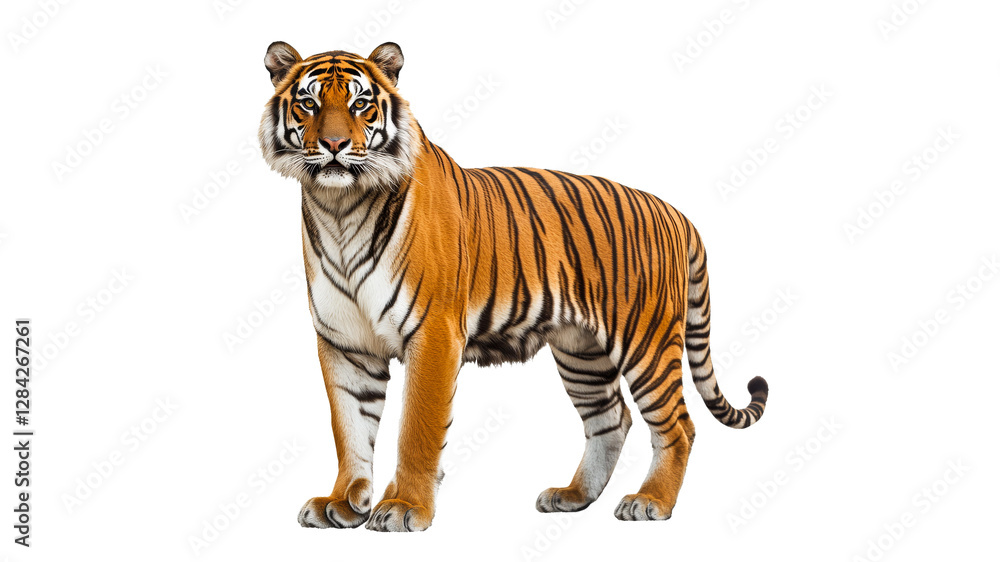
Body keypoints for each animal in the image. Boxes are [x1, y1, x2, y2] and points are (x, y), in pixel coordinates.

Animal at [258, 40, 769, 532]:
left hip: (647, 341)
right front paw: (342, 503)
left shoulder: (434, 333)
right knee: (611, 419)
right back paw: (573, 496)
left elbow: (418, 430)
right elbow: (350, 430)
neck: (340, 207)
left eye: (361, 104)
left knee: (678, 425)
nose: (334, 144)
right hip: (582, 352)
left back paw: (651, 502)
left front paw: (405, 508)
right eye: (308, 103)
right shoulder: (345, 343)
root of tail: (676, 214)